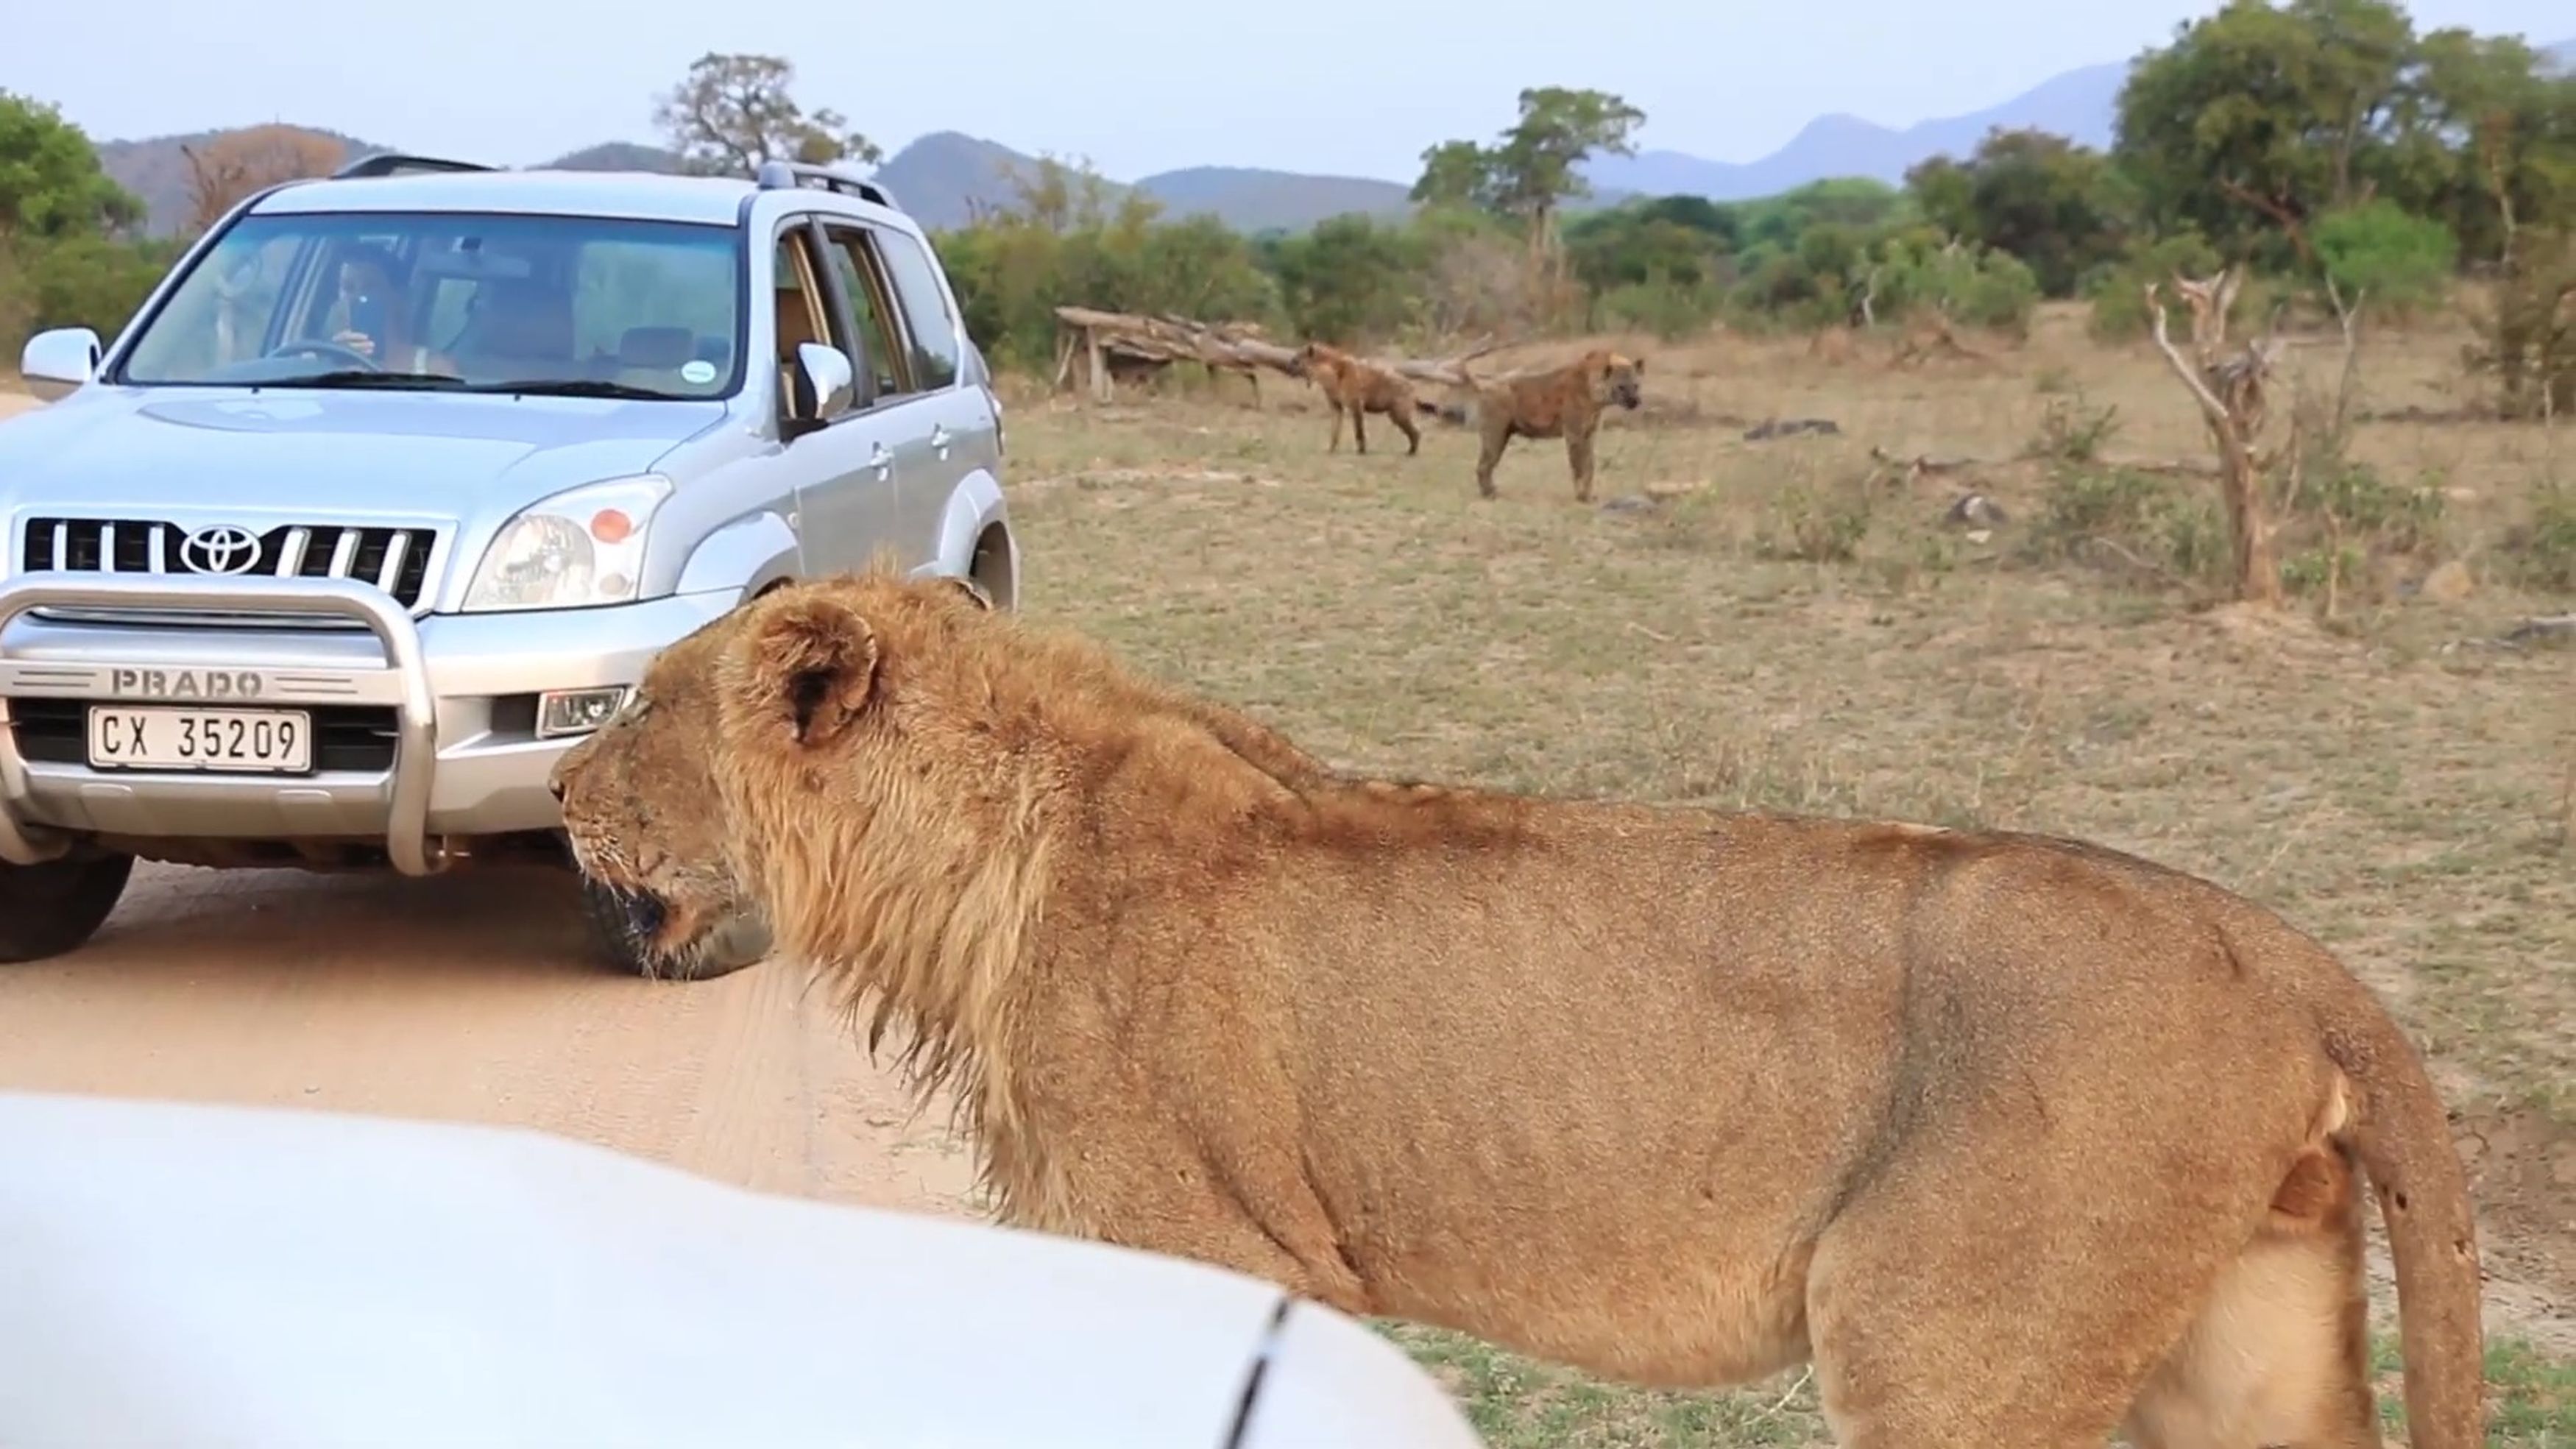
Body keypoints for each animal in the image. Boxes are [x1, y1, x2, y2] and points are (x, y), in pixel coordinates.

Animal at [551, 569, 2485, 1449]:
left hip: (1938, 1346)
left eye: (638, 704)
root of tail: (2297, 955)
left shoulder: (1228, 1253)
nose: (558, 790)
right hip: (2243, 1345)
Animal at [1293, 340, 1429, 456]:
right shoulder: (1336, 406)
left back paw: (1411, 453)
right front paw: (1331, 449)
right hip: (1395, 415)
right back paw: (1410, 451)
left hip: (1400, 414)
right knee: (1413, 430)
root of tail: (1412, 387)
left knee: (1416, 431)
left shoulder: (1356, 404)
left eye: (1296, 360)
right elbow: (1335, 430)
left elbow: (1359, 430)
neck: (1326, 376)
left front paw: (1361, 451)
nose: (1289, 365)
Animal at [1471, 348, 1645, 502]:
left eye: (1636, 385)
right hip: (1495, 434)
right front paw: (1582, 497)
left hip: (1503, 435)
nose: (1635, 401)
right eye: (1621, 387)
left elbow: (1590, 465)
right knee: (1483, 465)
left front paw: (1590, 496)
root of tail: (1483, 389)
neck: (1596, 398)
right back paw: (1490, 495)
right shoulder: (1574, 433)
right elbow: (1578, 466)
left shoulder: (1589, 433)